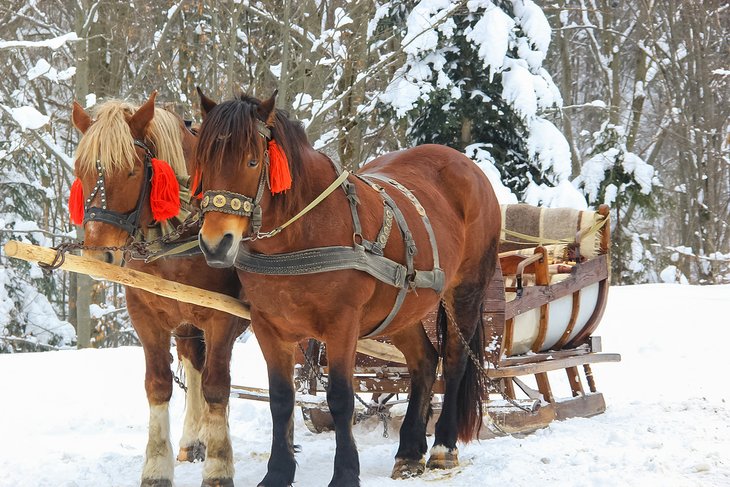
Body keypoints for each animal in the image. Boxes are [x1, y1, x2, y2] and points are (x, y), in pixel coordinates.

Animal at [70, 92, 245, 487]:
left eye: (132, 171)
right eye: (81, 171)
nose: (99, 254)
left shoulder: (223, 315)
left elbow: (217, 385)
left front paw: (219, 467)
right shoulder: (146, 313)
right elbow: (159, 384)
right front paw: (156, 467)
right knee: (194, 362)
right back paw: (193, 439)